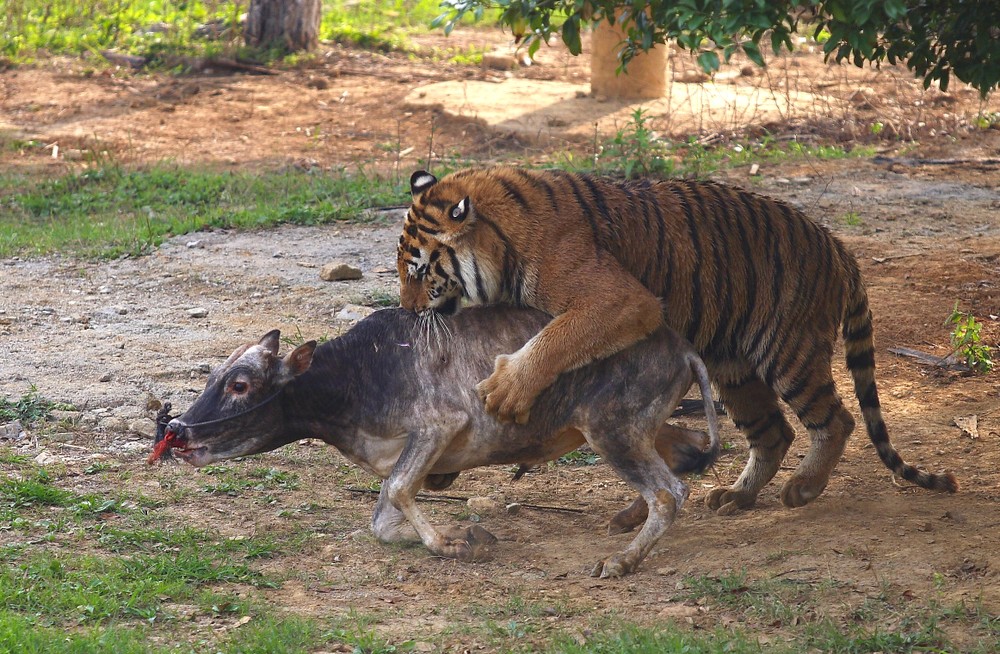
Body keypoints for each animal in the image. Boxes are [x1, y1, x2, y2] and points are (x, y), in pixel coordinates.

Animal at [394, 167, 956, 516]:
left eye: (420, 271)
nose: (407, 310)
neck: (501, 243)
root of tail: (838, 244)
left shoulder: (619, 298)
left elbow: (557, 339)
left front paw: (505, 391)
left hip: (789, 354)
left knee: (836, 420)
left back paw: (803, 488)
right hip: (735, 369)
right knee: (774, 433)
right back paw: (734, 497)